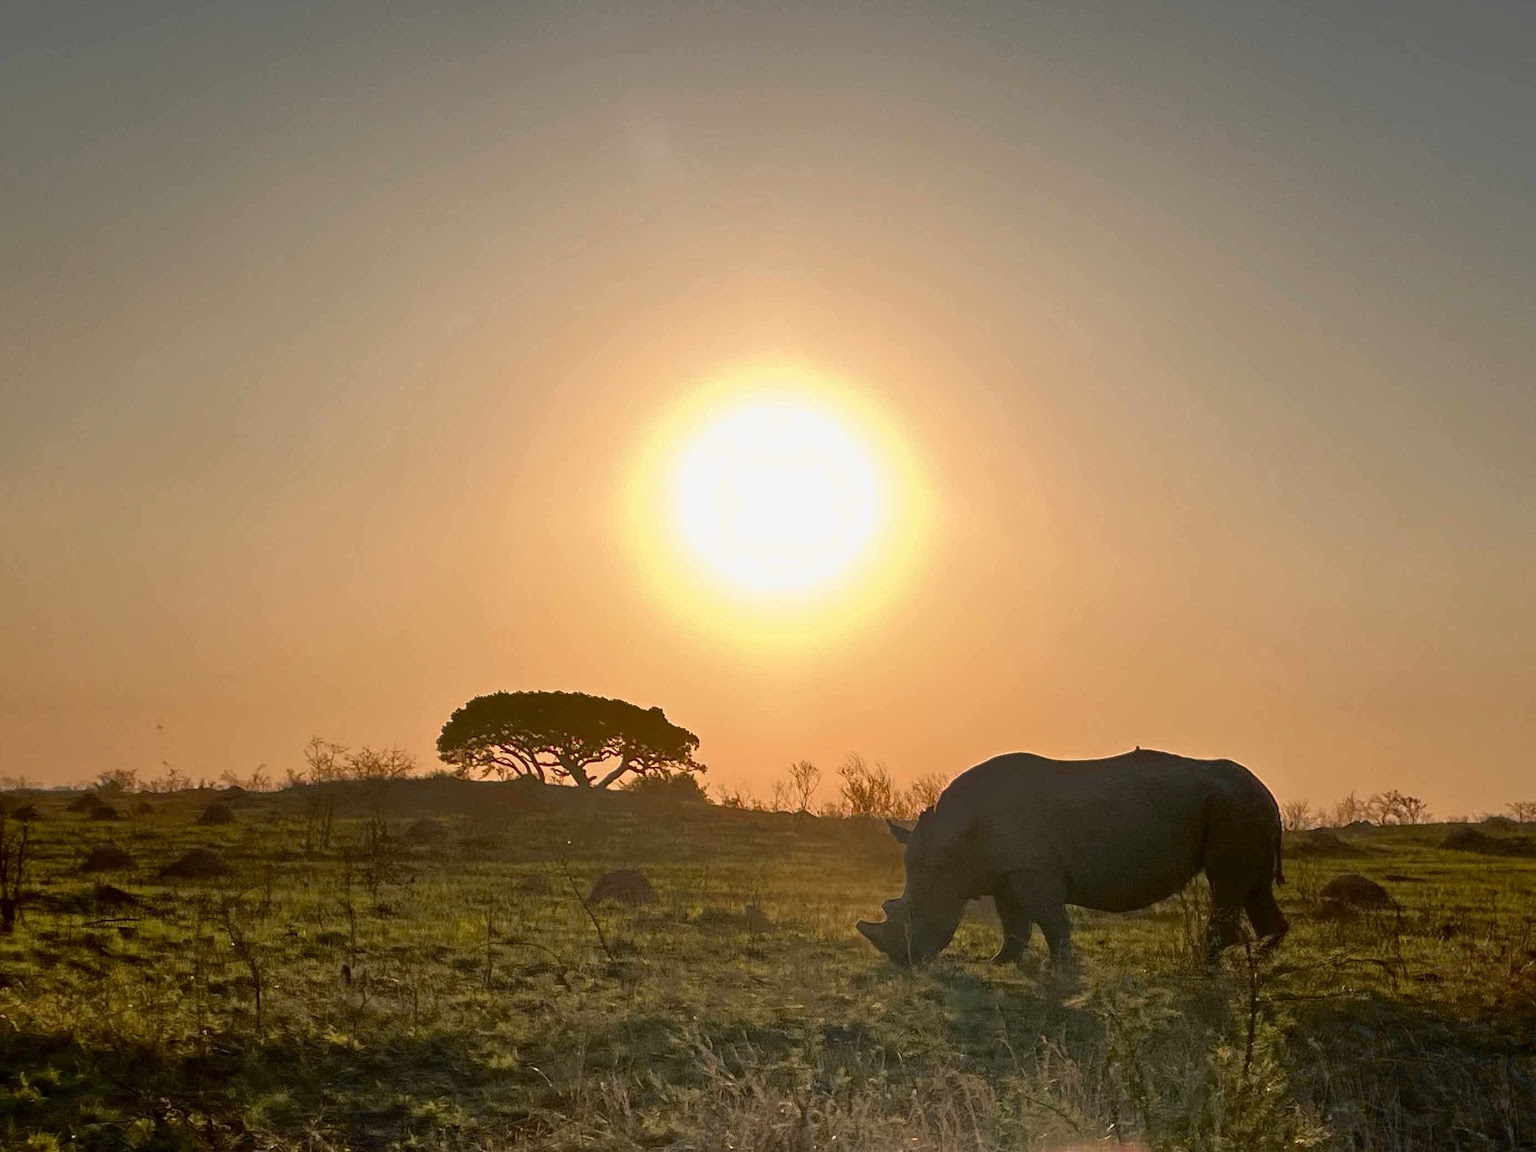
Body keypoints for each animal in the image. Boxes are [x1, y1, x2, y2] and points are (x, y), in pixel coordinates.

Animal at [856, 749, 1287, 968]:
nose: (904, 960)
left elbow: (1049, 918)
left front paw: (1059, 966)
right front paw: (1000, 962)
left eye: (916, 911)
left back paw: (1207, 964)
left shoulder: (1032, 869)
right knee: (1254, 887)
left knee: (1225, 883)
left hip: (1234, 806)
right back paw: (1260, 961)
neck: (950, 845)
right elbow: (1014, 921)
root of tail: (1267, 790)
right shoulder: (1007, 870)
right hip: (1243, 806)